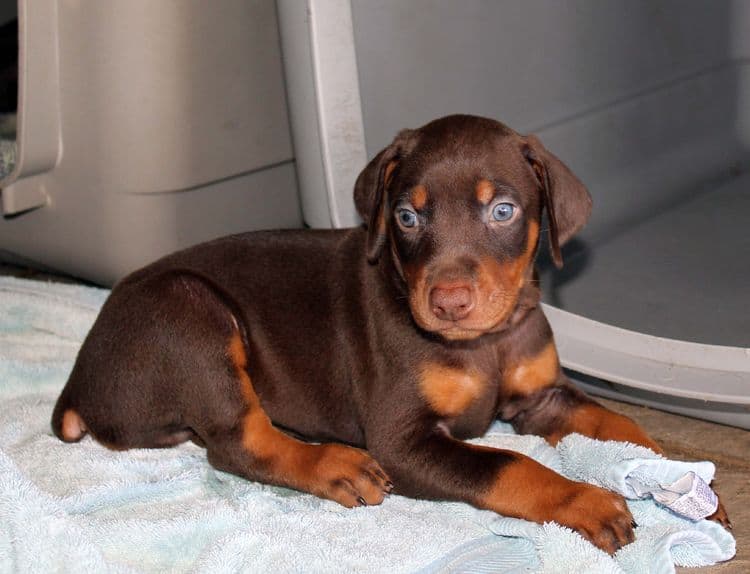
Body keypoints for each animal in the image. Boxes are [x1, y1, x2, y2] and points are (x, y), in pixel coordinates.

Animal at [50, 116, 724, 552]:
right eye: (406, 215)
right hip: (188, 311)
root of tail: (78, 382)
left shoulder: (541, 395)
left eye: (502, 210)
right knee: (237, 444)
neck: (483, 343)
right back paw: (333, 466)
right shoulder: (403, 440)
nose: (448, 302)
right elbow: (509, 464)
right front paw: (581, 500)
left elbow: (616, 422)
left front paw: (667, 469)